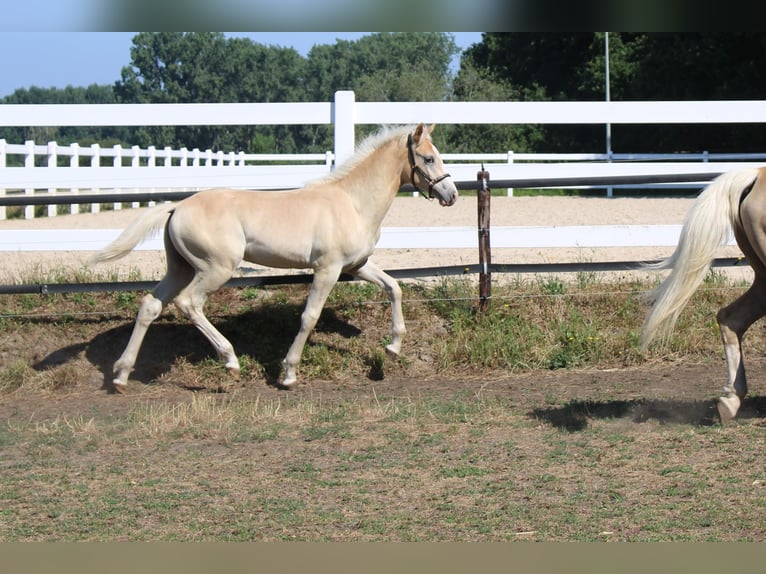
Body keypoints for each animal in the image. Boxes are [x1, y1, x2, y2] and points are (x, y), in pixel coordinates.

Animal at [89, 123, 458, 393]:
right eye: (427, 158)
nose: (451, 194)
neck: (352, 202)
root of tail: (177, 206)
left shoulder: (357, 265)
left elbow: (394, 287)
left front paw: (393, 348)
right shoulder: (328, 269)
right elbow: (309, 317)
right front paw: (288, 373)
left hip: (180, 268)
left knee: (150, 306)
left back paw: (121, 376)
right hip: (215, 268)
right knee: (189, 303)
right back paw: (230, 361)